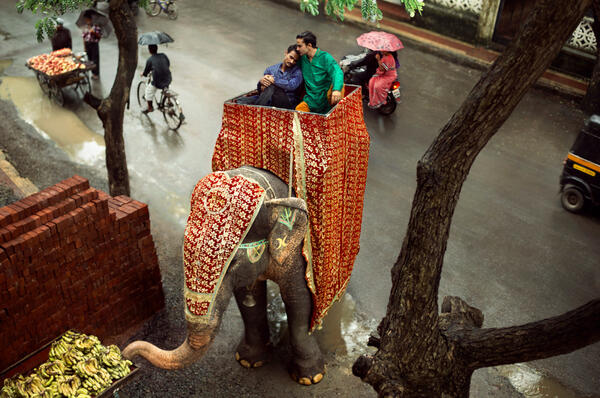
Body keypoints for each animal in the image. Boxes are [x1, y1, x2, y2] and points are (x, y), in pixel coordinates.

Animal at [122, 166, 326, 386]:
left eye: (233, 263)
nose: (127, 355)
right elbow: (249, 299)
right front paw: (248, 361)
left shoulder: (298, 252)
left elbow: (299, 300)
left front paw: (310, 378)